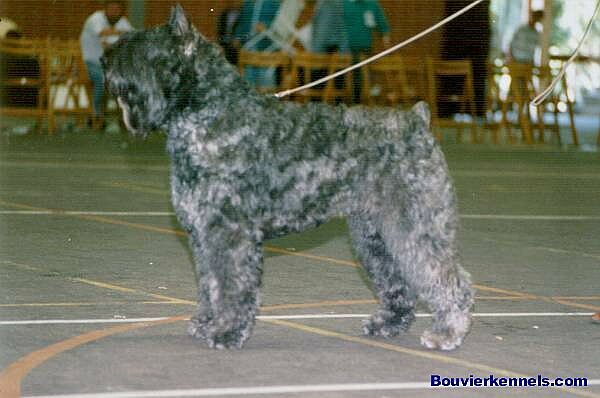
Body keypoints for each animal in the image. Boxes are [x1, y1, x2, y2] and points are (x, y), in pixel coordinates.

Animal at [102, 5, 474, 348]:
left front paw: (226, 331)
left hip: (414, 224)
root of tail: (418, 120)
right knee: (399, 280)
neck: (210, 116)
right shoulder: (203, 236)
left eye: (141, 48)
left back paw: (447, 331)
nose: (105, 62)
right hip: (375, 234)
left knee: (447, 277)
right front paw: (207, 323)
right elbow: (210, 283)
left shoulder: (229, 232)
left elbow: (231, 284)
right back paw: (388, 324)